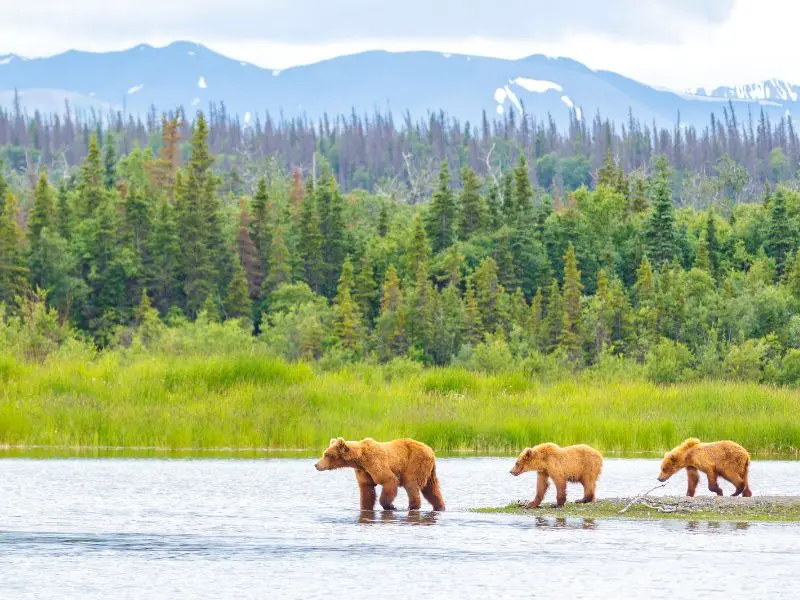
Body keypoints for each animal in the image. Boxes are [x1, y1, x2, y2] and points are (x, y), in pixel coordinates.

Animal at [314, 436, 444, 510]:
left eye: (326, 454)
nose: (316, 465)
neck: (360, 459)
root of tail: (431, 450)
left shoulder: (375, 462)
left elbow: (389, 480)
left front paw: (391, 506)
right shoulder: (364, 471)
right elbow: (367, 490)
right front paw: (365, 507)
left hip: (415, 463)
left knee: (411, 484)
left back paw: (413, 506)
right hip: (429, 470)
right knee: (431, 488)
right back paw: (440, 506)